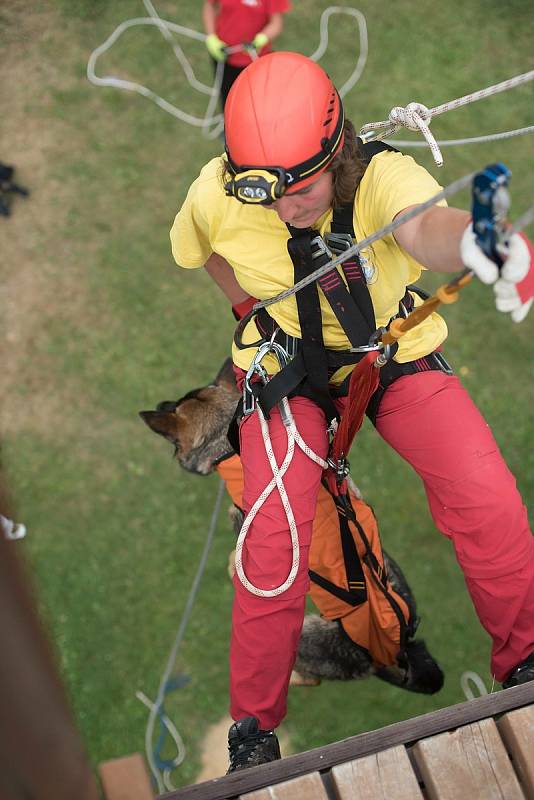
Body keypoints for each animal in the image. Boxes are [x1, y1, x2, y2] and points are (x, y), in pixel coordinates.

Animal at [140, 360, 446, 692]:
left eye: (172, 406)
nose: (160, 402)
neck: (229, 447)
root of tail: (397, 650)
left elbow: (236, 560)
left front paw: (233, 571)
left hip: (301, 635)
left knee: (307, 677)